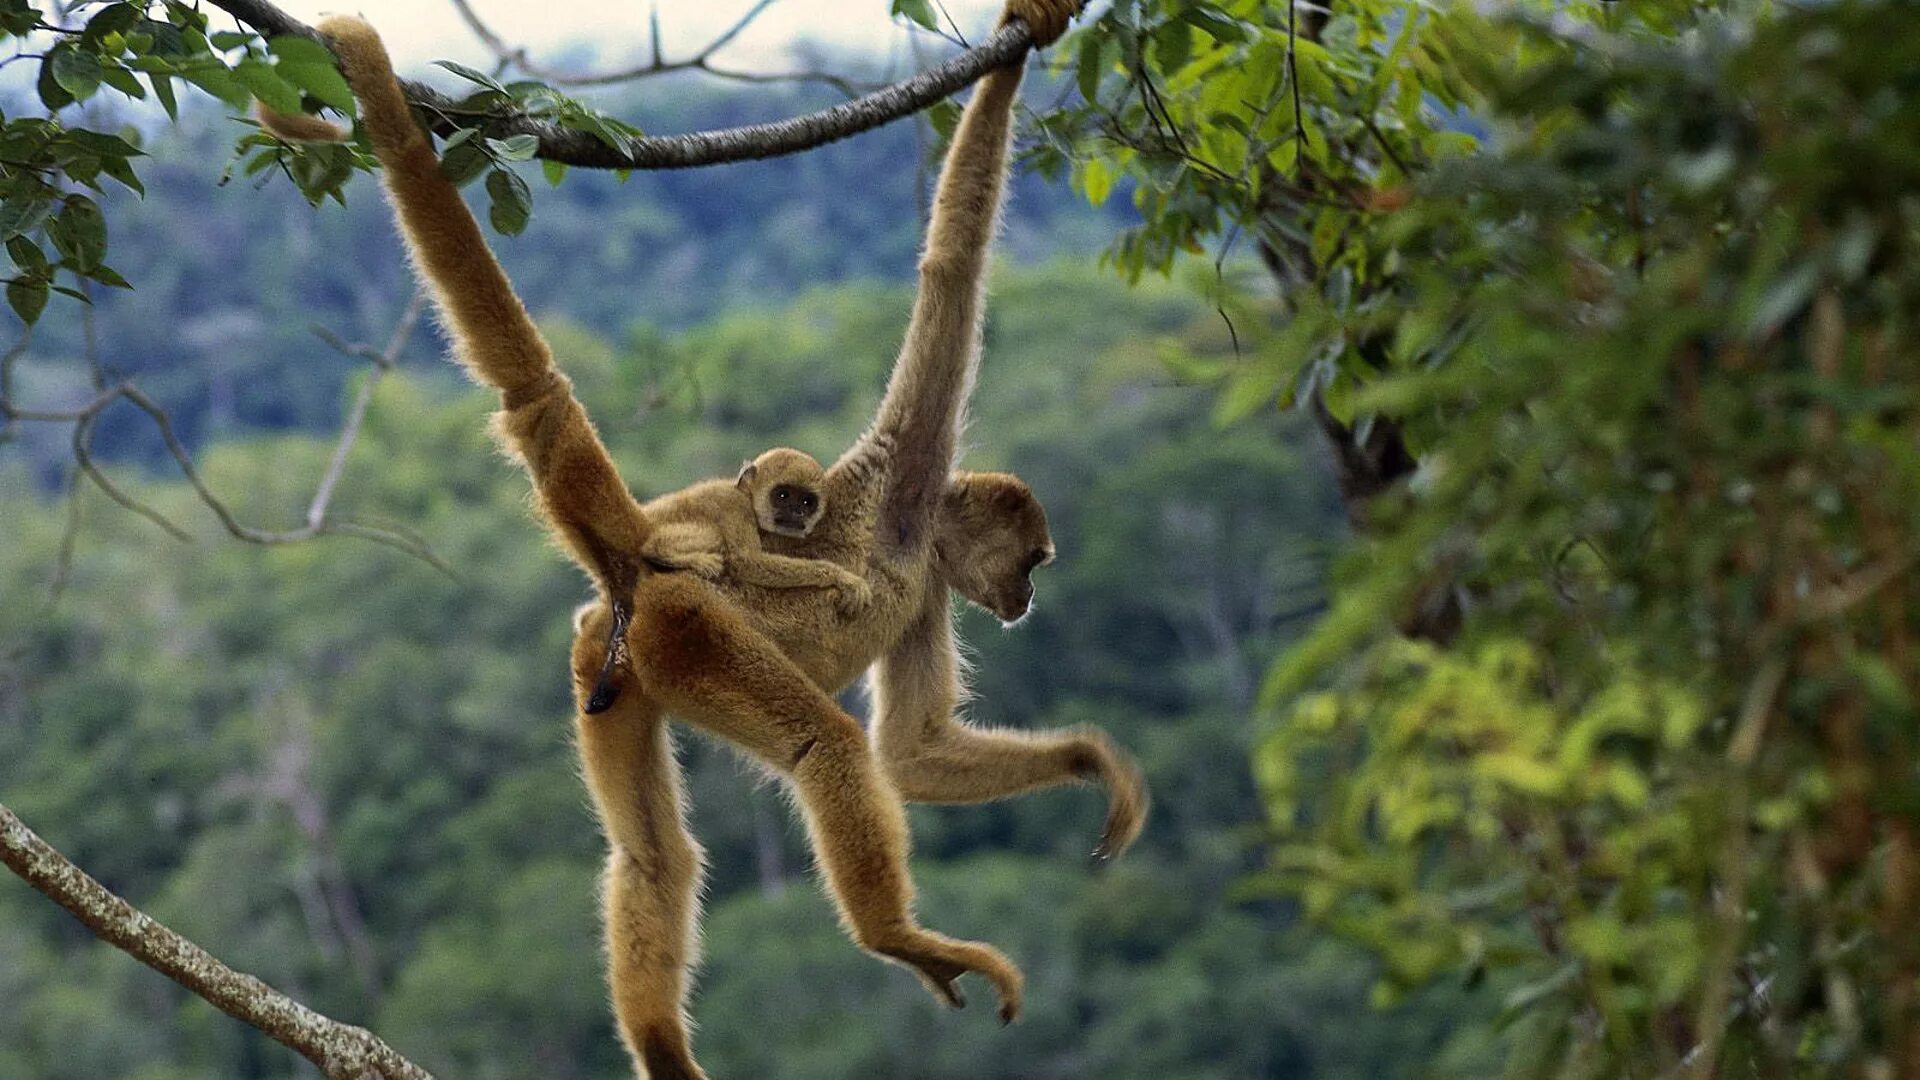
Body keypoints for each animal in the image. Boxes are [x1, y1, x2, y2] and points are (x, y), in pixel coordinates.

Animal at [576, 447, 864, 714]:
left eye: (806, 502)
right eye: (783, 495)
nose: (796, 513)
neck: (744, 495)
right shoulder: (734, 506)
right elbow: (747, 561)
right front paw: (841, 577)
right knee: (676, 546)